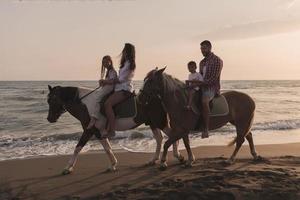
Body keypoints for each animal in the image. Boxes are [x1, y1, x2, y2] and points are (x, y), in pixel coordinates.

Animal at [46, 84, 184, 173]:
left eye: (52, 99)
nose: (49, 118)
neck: (87, 105)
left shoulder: (89, 131)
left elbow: (78, 147)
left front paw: (68, 167)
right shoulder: (99, 132)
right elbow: (107, 148)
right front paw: (112, 165)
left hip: (159, 121)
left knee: (171, 136)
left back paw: (174, 157)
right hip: (153, 123)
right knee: (160, 138)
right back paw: (154, 160)